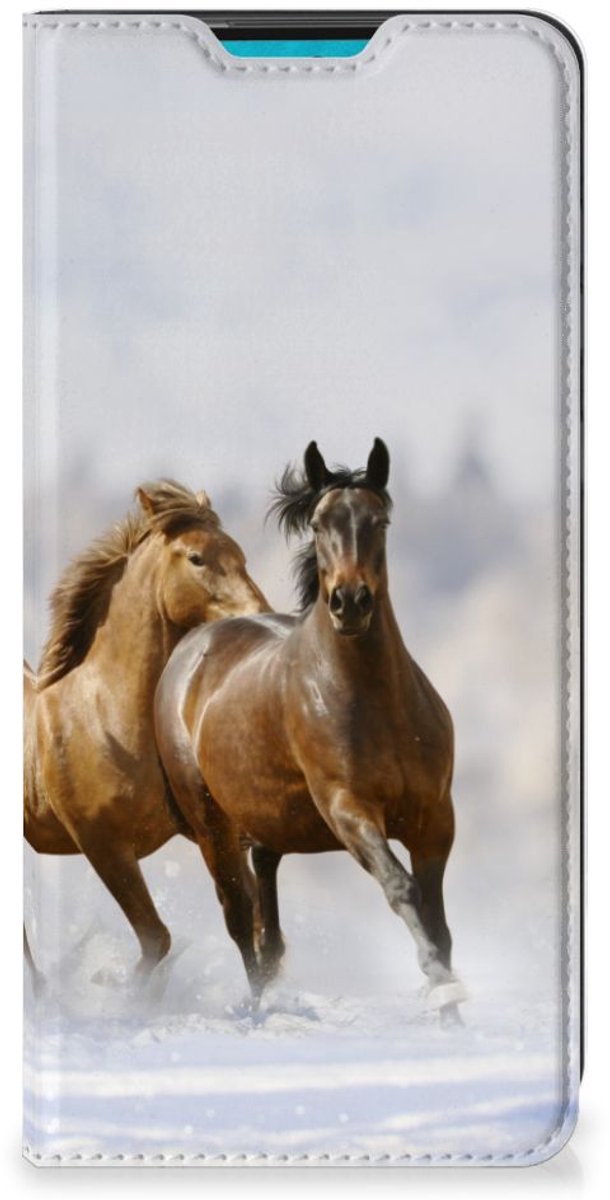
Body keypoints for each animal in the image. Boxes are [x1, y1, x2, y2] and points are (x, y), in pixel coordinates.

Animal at [24, 480, 269, 979]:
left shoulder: (211, 832)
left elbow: (247, 918)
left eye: (240, 554)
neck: (106, 718)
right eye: (196, 558)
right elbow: (157, 939)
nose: (260, 613)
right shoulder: (104, 846)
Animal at [154, 441, 466, 1023]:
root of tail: (192, 648)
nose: (350, 602)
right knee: (239, 916)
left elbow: (438, 919)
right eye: (320, 524)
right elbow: (402, 889)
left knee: (266, 915)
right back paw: (258, 1010)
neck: (376, 704)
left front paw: (452, 1011)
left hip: (268, 822)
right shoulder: (348, 809)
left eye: (379, 521)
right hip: (211, 825)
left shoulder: (435, 818)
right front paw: (440, 987)